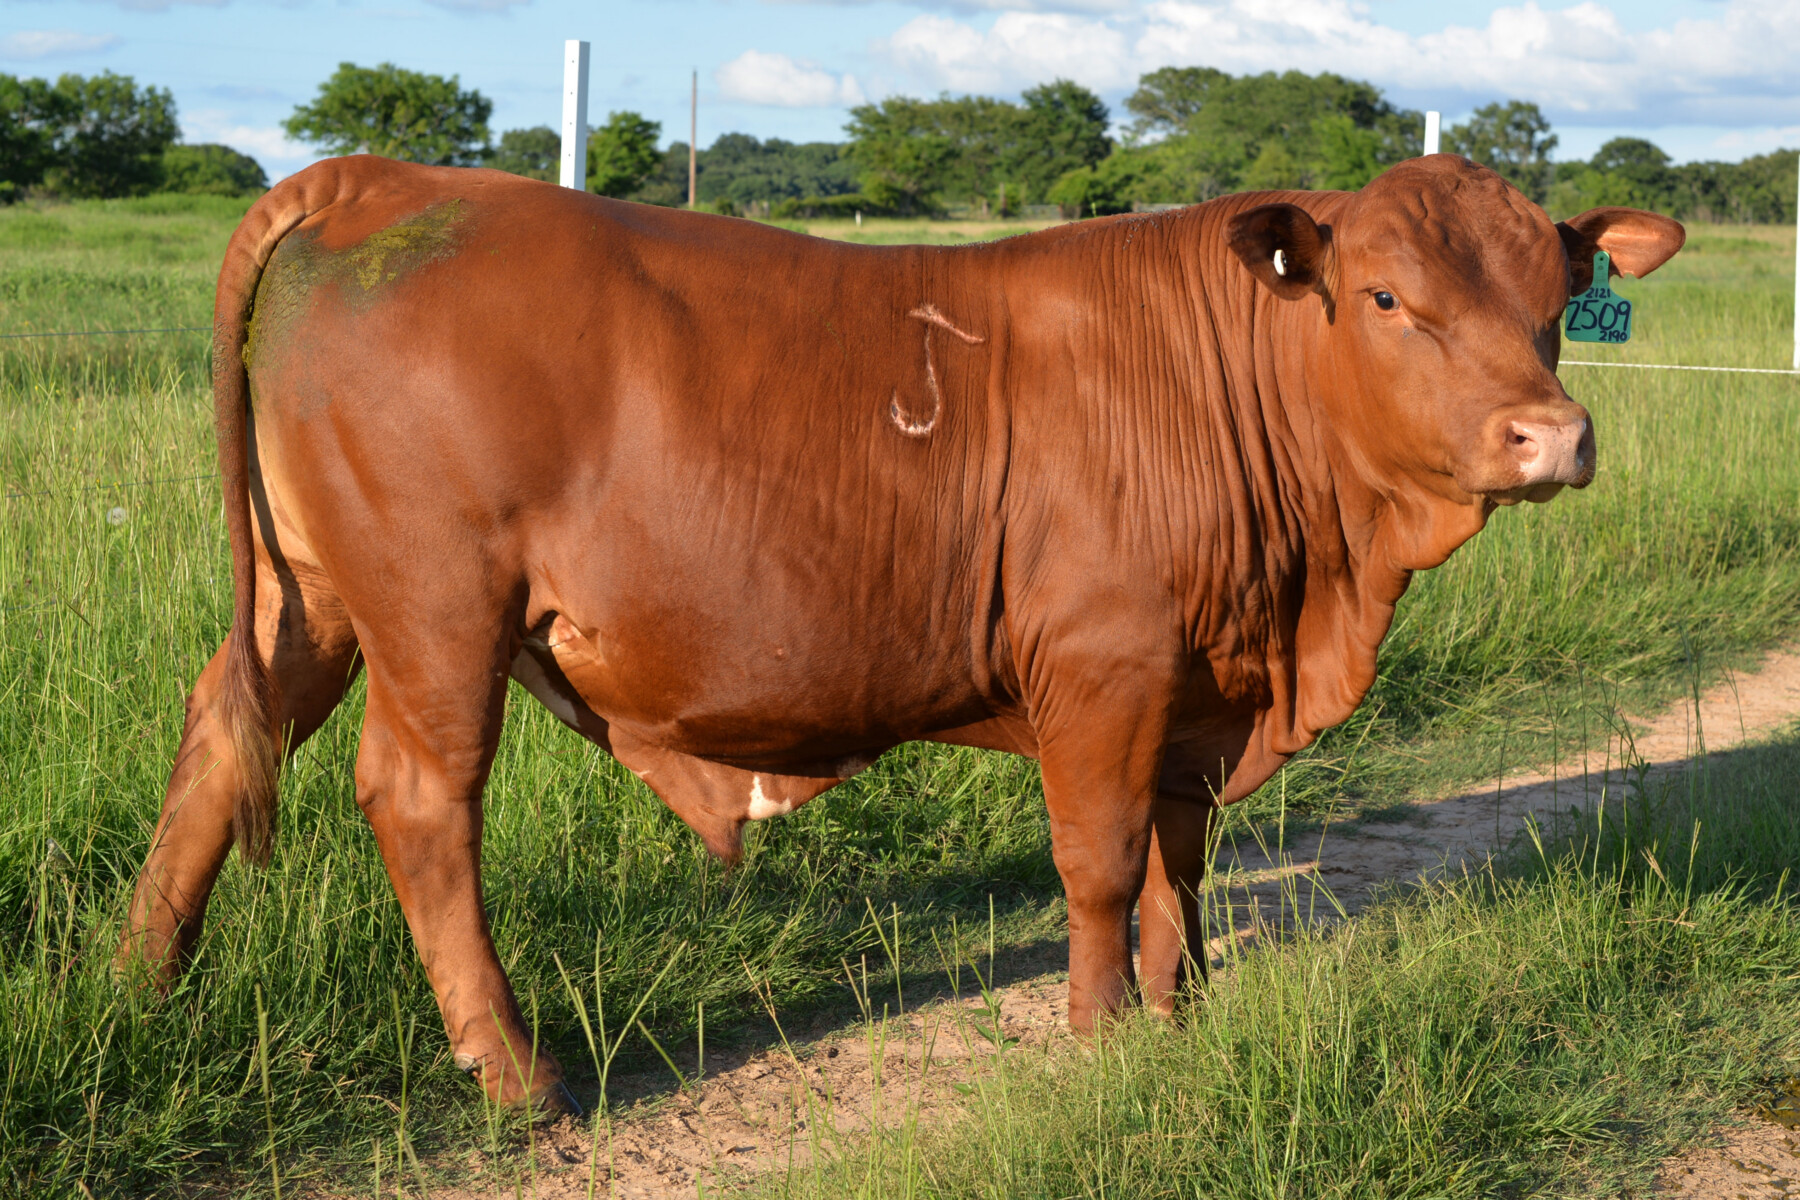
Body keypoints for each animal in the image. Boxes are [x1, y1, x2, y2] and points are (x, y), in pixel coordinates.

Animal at [117, 153, 1684, 1113]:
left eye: (1553, 303)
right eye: (1384, 294)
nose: (1551, 434)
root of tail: (387, 178)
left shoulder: (1197, 684)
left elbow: (1180, 857)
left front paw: (1186, 1009)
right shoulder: (1106, 663)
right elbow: (1101, 860)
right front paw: (1104, 1032)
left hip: (309, 598)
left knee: (218, 741)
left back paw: (138, 987)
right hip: (435, 609)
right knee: (421, 801)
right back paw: (517, 1073)